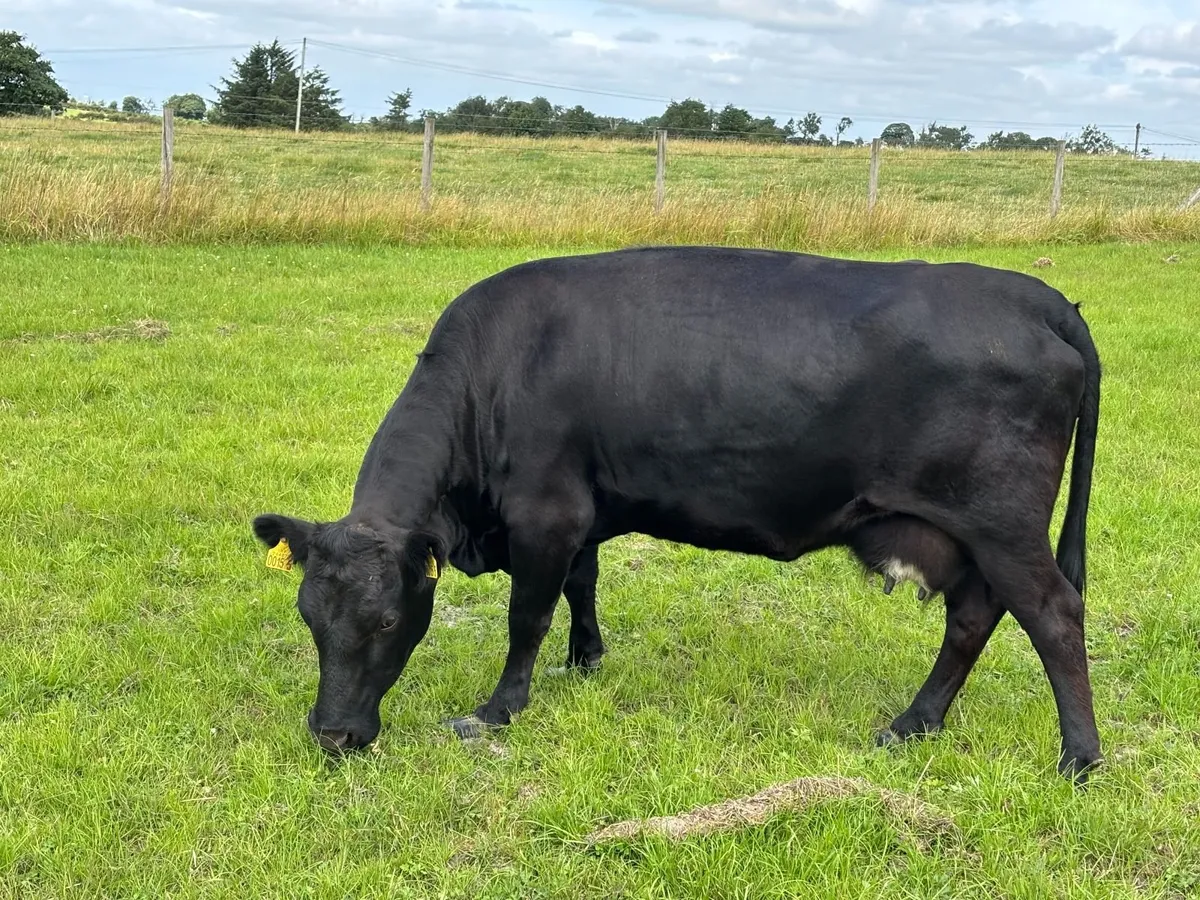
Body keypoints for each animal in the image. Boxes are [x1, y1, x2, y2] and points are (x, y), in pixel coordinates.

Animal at [252, 245, 1102, 783]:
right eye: (309, 617)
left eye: (388, 621)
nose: (334, 734)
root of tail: (1036, 296)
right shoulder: (581, 510)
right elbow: (581, 585)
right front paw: (585, 658)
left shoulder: (544, 512)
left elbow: (527, 615)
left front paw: (496, 710)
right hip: (963, 536)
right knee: (973, 617)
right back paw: (913, 724)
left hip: (1001, 525)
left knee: (1053, 613)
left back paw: (1080, 759)